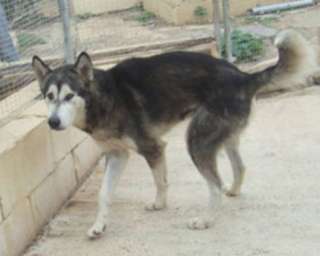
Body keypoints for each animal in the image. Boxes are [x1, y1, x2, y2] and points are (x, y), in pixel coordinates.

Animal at [31, 30, 312, 240]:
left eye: (70, 96)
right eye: (49, 96)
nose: (53, 122)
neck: (104, 98)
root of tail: (244, 76)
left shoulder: (152, 147)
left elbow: (160, 181)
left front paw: (160, 204)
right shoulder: (117, 155)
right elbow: (104, 194)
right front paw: (99, 226)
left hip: (196, 142)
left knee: (215, 185)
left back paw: (206, 220)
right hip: (224, 138)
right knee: (240, 167)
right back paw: (233, 191)